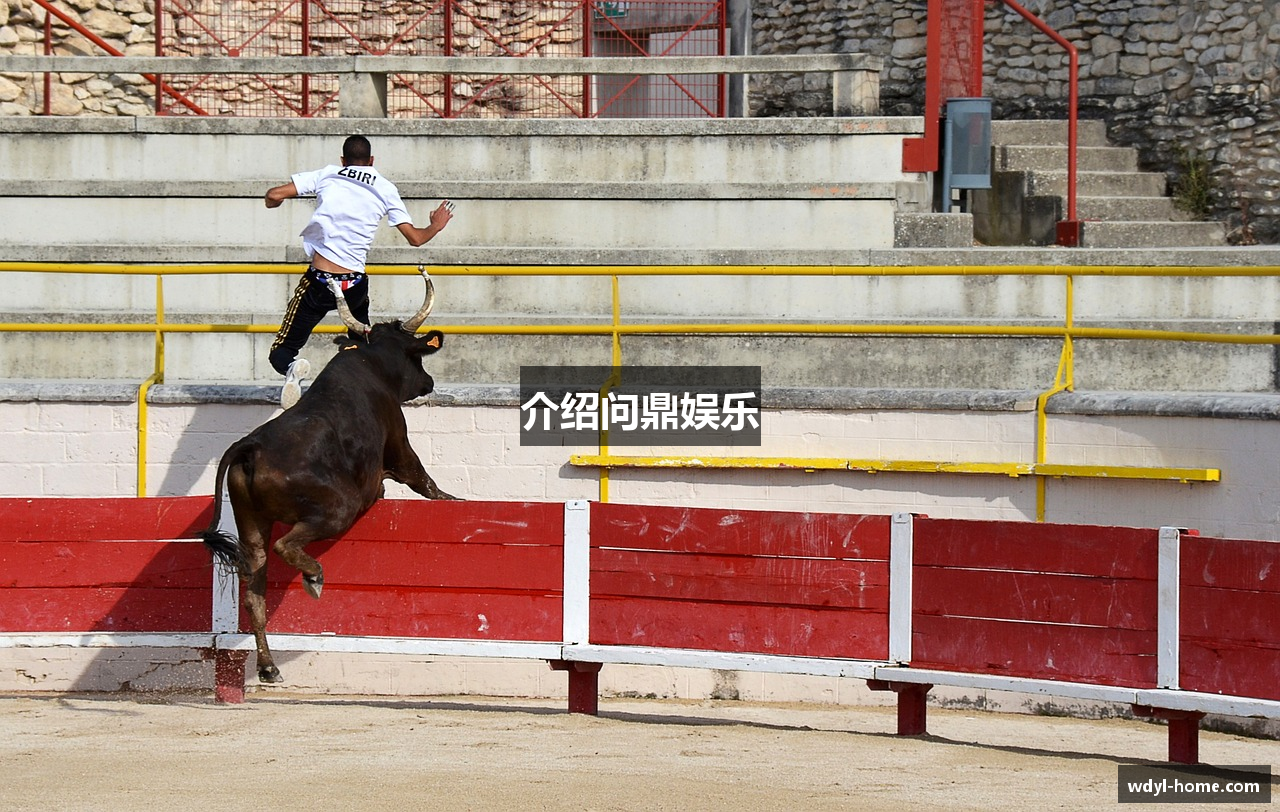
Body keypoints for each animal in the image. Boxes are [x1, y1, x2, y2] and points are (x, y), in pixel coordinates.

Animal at [197, 271, 458, 681]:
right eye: (415, 355)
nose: (428, 382)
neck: (371, 361)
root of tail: (250, 446)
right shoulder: (400, 448)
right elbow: (426, 483)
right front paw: (455, 500)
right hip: (337, 508)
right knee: (287, 544)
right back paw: (314, 578)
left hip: (251, 523)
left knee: (255, 591)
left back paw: (269, 667)